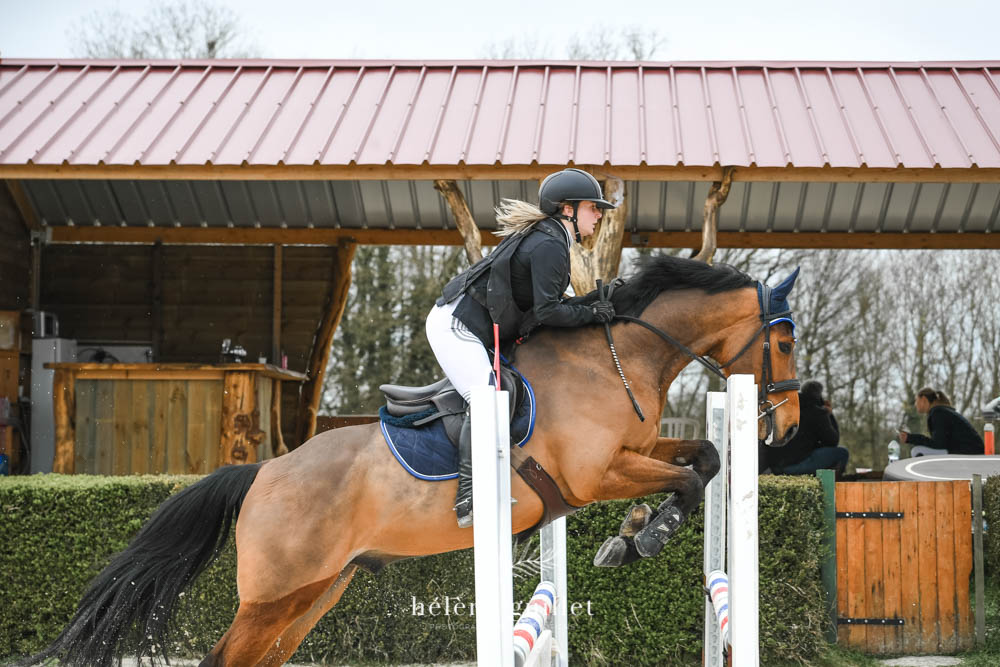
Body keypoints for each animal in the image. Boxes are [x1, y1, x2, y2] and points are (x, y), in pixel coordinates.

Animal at [23, 256, 800, 667]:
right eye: (786, 343)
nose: (789, 426)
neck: (613, 355)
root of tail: (264, 472)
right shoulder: (591, 475)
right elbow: (691, 476)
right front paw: (642, 535)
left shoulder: (631, 453)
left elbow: (702, 457)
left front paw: (634, 532)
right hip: (277, 593)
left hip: (314, 591)